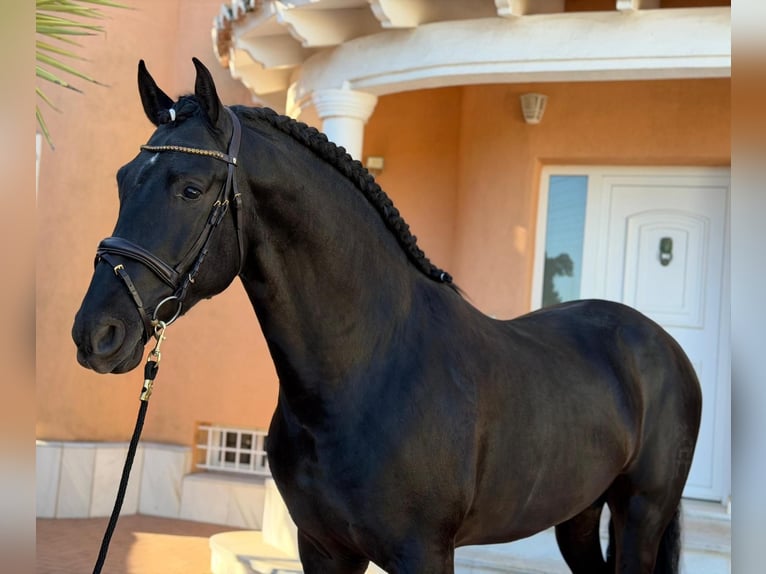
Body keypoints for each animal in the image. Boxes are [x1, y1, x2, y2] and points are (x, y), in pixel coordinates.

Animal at [72, 58, 701, 574]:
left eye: (191, 188)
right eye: (123, 180)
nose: (95, 333)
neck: (368, 369)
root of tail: (661, 345)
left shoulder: (423, 553)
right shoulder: (324, 549)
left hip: (640, 515)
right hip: (578, 514)